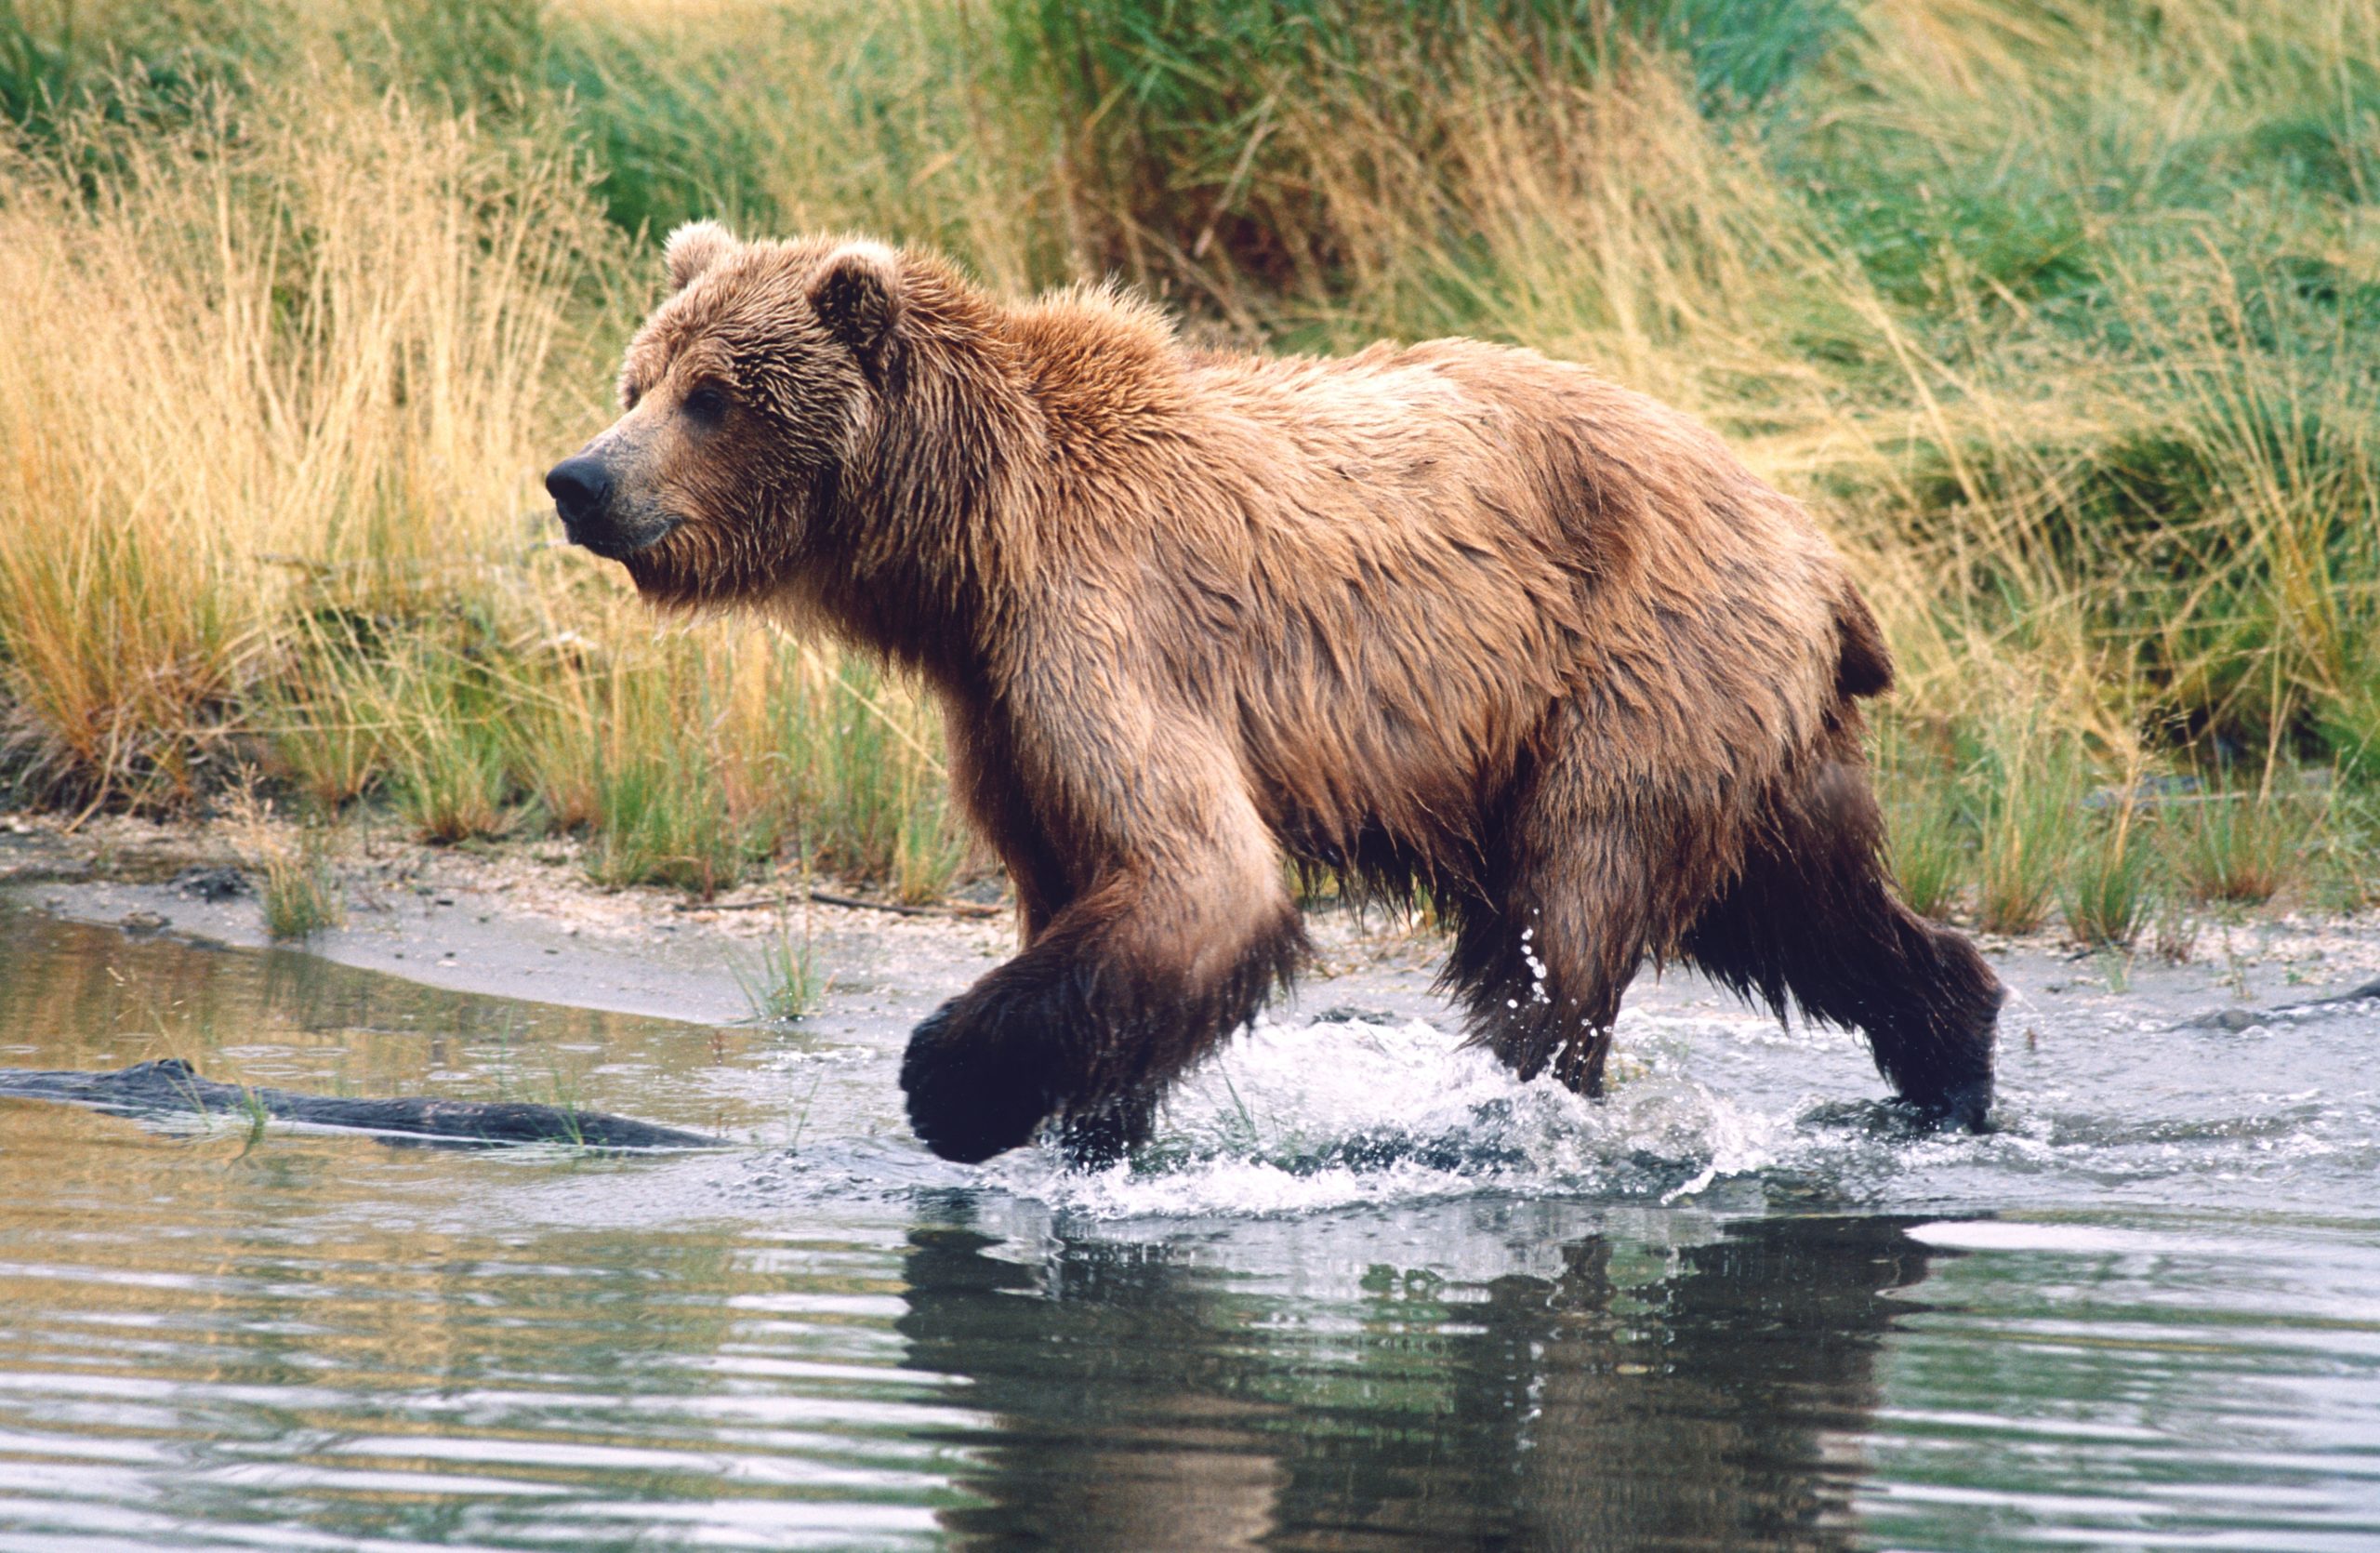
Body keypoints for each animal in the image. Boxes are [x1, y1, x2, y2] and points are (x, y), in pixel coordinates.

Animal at [546, 221, 2002, 1165]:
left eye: (713, 395)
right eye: (639, 377)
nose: (580, 478)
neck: (965, 541)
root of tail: (1821, 553)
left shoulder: (1097, 627)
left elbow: (1203, 873)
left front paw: (946, 1084)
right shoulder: (998, 700)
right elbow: (1092, 890)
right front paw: (1095, 1119)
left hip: (1630, 680)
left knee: (1566, 916)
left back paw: (1512, 1111)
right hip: (1758, 729)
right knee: (1813, 909)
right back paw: (1952, 1050)